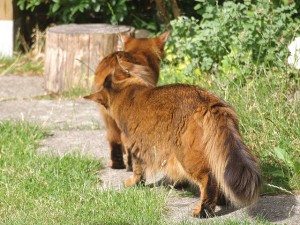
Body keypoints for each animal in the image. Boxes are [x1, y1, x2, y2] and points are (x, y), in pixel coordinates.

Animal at [92, 31, 170, 169]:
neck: (139, 53)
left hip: (107, 114)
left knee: (114, 138)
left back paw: (117, 164)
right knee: (125, 138)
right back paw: (131, 164)